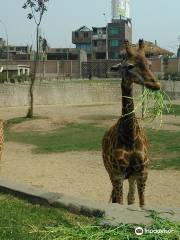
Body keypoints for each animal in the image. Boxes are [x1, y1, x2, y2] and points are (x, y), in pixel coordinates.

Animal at [102, 39, 160, 208]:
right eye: (129, 66)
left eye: (149, 64)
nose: (155, 84)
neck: (130, 136)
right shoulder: (118, 174)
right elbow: (119, 203)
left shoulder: (142, 173)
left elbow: (141, 204)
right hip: (110, 172)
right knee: (117, 198)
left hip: (131, 177)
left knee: (130, 198)